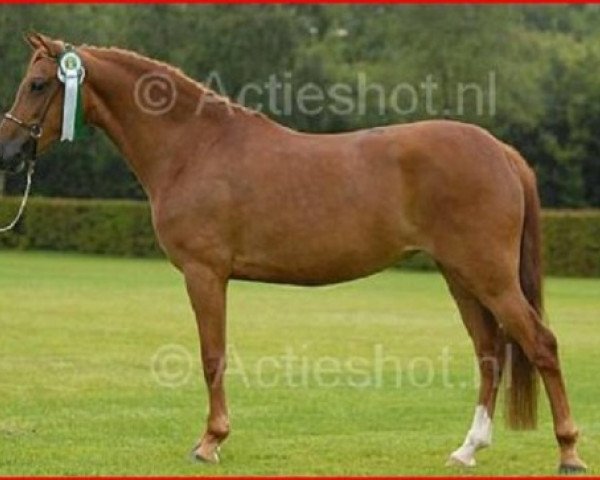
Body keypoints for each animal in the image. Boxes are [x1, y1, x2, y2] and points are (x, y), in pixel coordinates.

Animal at [0, 34, 584, 472]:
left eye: (36, 84)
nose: (7, 152)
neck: (193, 146)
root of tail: (500, 151)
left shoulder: (204, 273)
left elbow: (212, 356)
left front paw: (210, 441)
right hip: (460, 275)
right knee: (489, 350)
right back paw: (468, 449)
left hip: (488, 276)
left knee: (541, 344)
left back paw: (569, 452)